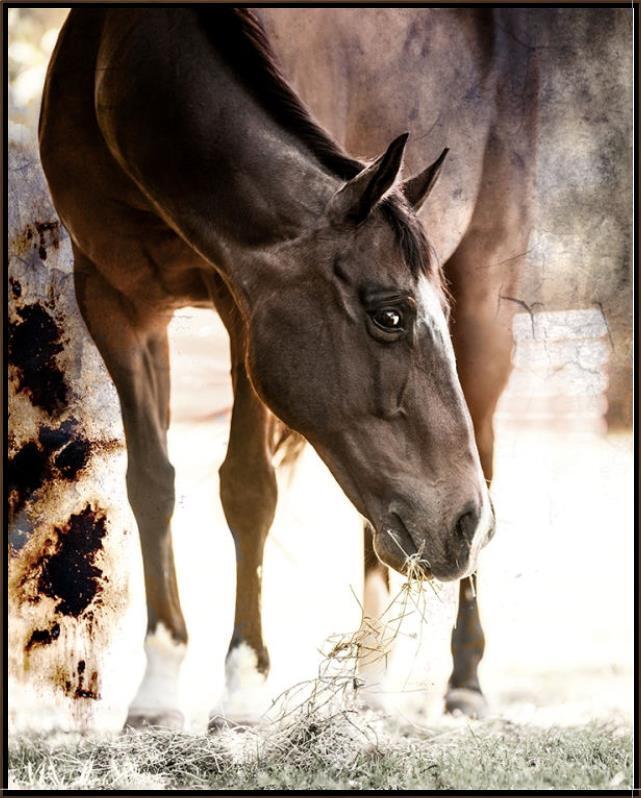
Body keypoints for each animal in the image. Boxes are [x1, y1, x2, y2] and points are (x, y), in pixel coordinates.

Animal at [38, 7, 528, 729]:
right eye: (390, 314)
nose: (464, 524)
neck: (124, 65)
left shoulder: (241, 312)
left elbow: (248, 490)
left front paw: (242, 687)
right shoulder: (114, 302)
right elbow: (151, 483)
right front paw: (158, 687)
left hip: (485, 297)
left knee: (484, 450)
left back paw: (464, 677)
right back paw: (371, 682)